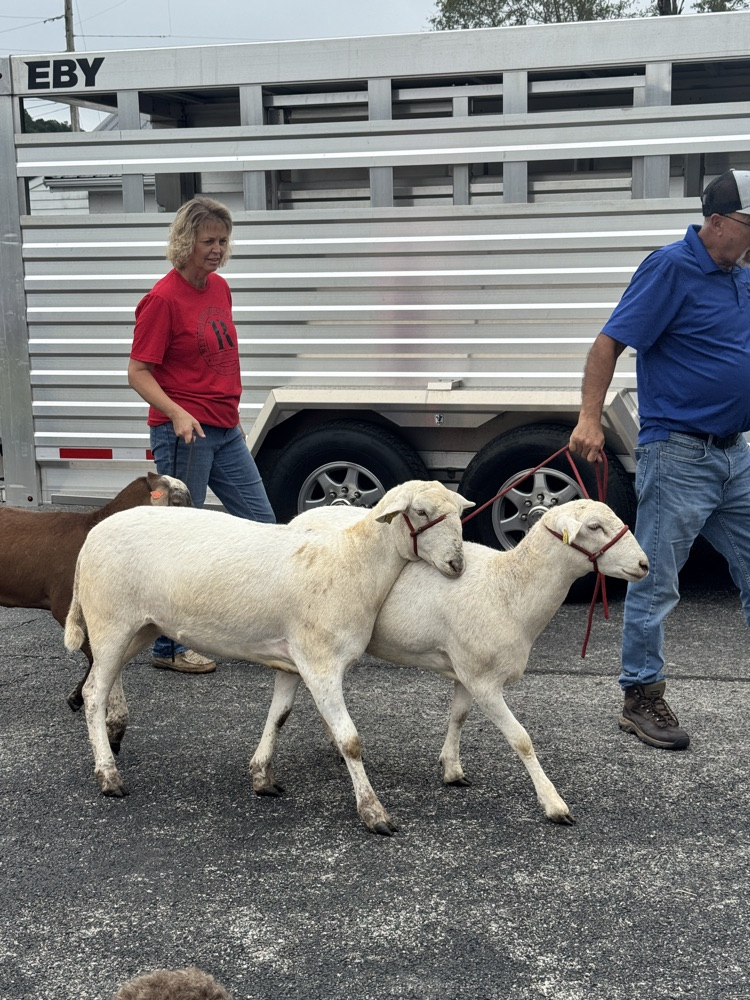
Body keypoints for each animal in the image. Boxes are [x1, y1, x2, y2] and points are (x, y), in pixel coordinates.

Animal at [64, 480, 473, 834]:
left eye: (458, 512)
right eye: (420, 511)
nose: (458, 565)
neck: (351, 562)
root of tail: (90, 539)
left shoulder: (293, 661)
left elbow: (279, 716)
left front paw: (262, 777)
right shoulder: (321, 663)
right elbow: (349, 740)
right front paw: (375, 813)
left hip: (140, 625)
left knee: (109, 674)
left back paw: (115, 730)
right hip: (112, 619)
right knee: (93, 693)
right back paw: (108, 775)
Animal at [251, 498, 648, 826]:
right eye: (594, 527)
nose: (644, 564)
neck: (511, 588)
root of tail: (299, 518)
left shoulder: (467, 671)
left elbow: (458, 716)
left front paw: (452, 769)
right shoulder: (485, 681)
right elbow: (521, 739)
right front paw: (554, 804)